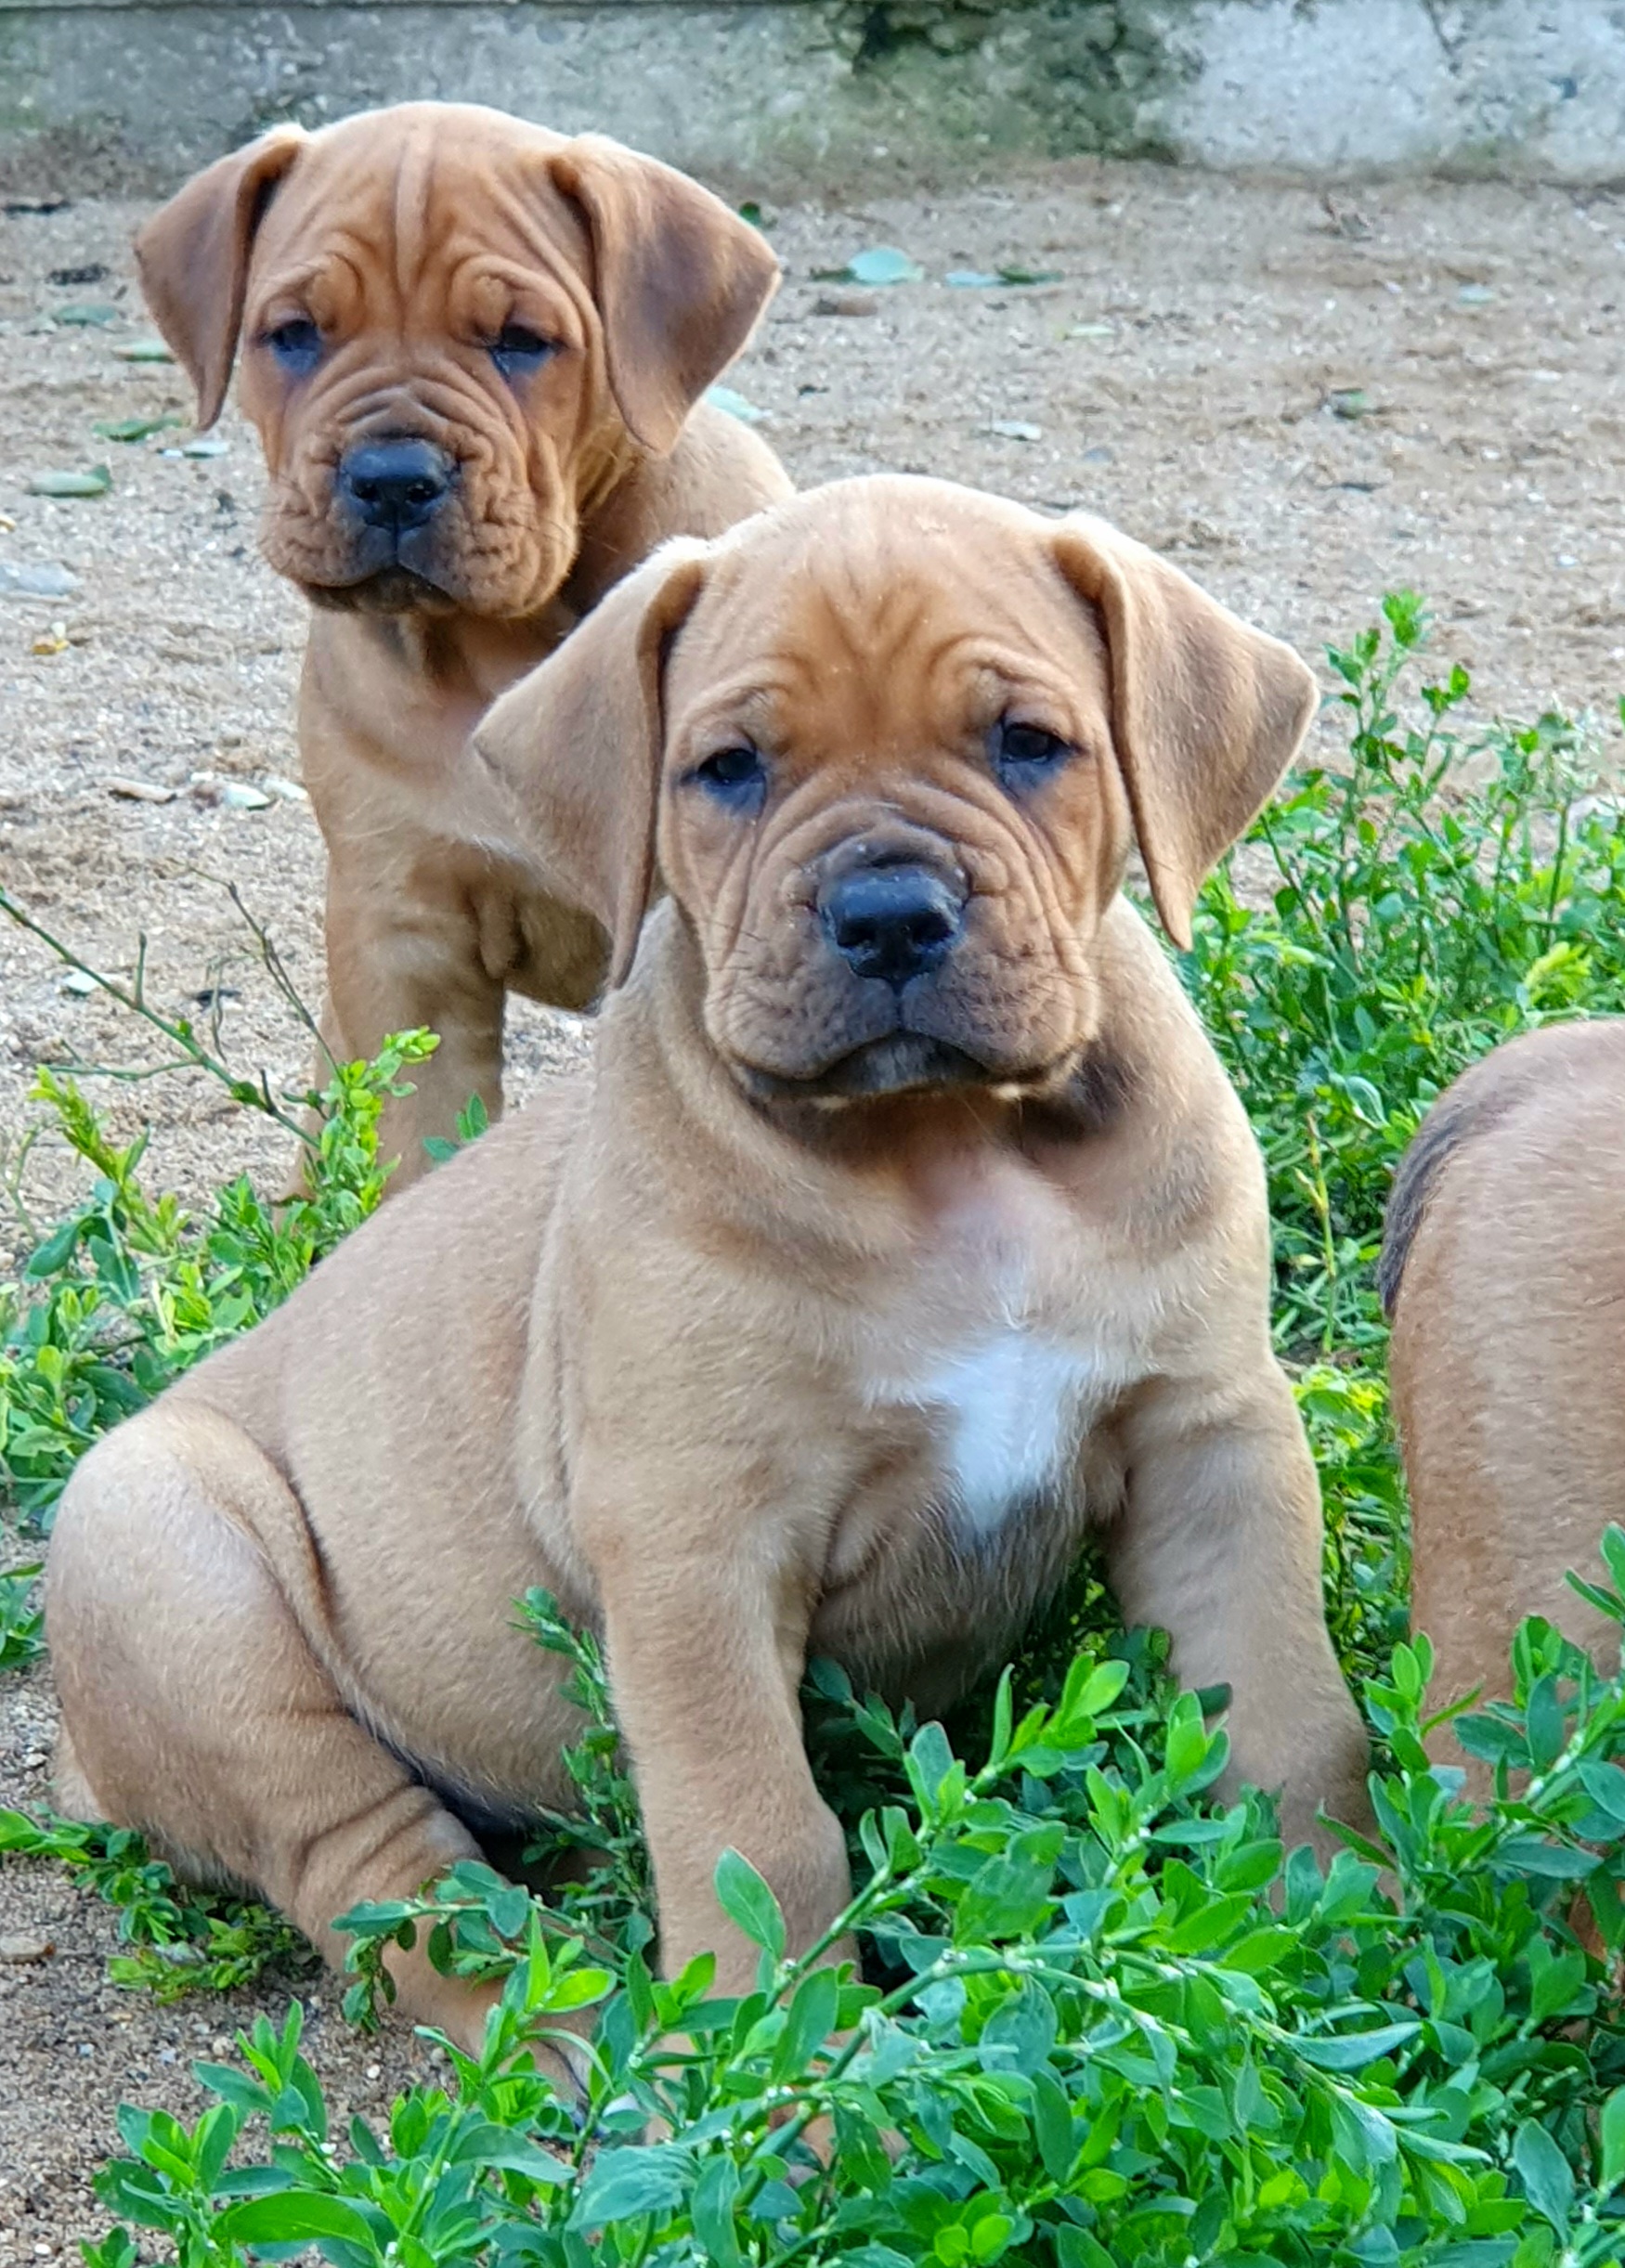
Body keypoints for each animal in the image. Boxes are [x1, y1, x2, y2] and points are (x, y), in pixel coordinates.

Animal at [48, 476, 1371, 2055]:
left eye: (1027, 741)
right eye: (728, 769)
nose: (888, 912)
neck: (944, 1145)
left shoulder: (1210, 1439)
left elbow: (1287, 1709)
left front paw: (1345, 1930)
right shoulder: (694, 1543)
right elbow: (756, 1825)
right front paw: (775, 2065)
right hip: (166, 1558)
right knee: (379, 1877)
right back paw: (552, 2025)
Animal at [136, 100, 790, 1181]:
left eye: (522, 341)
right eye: (294, 335)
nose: (392, 477)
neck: (501, 643)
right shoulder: (406, 940)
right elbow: (411, 1152)